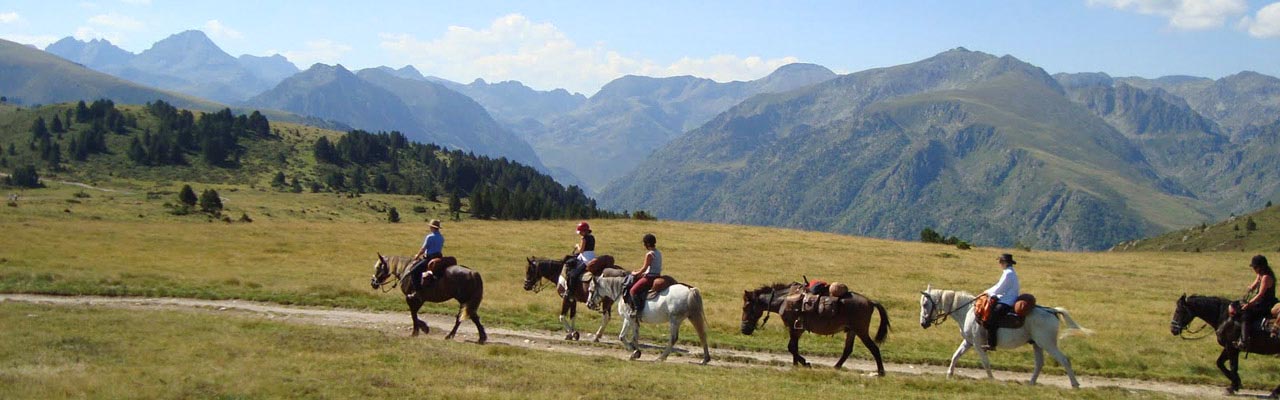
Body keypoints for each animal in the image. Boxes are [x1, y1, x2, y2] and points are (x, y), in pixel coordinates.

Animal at [742, 283, 890, 374]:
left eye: (745, 307)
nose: (744, 329)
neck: (784, 300)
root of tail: (870, 302)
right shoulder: (797, 329)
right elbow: (794, 347)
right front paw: (797, 365)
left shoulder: (794, 328)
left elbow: (791, 347)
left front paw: (804, 363)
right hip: (852, 331)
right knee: (848, 350)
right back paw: (836, 367)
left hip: (861, 331)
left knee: (874, 348)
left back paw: (881, 372)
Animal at [921, 284, 1090, 387]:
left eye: (925, 304)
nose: (923, 323)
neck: (967, 311)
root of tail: (1052, 311)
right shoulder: (968, 342)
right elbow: (955, 356)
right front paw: (949, 375)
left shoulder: (977, 344)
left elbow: (985, 362)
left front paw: (991, 379)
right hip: (1037, 344)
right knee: (1039, 364)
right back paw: (1031, 383)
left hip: (1047, 343)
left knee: (1064, 360)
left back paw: (1075, 384)